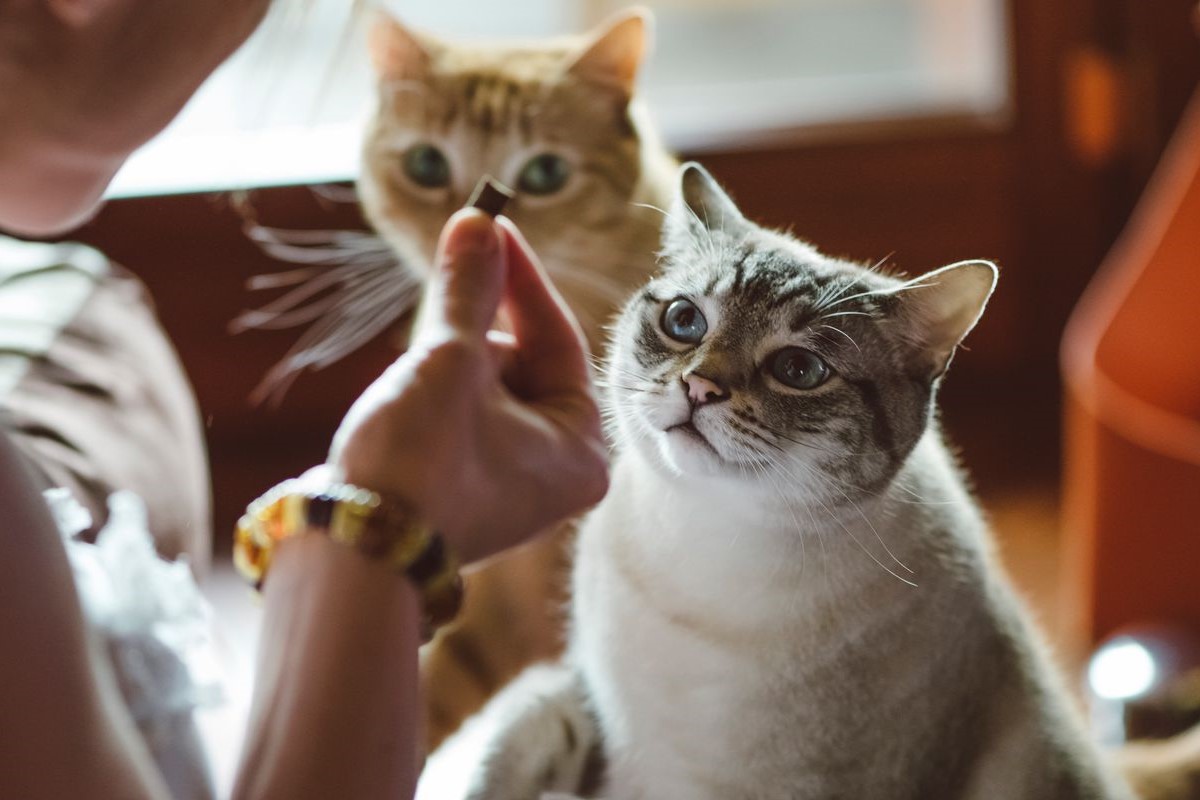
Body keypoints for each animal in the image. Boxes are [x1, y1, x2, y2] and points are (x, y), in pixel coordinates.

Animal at [417, 164, 1137, 800]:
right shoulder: (584, 703)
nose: (699, 387)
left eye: (798, 369)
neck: (705, 542)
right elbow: (511, 740)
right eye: (684, 322)